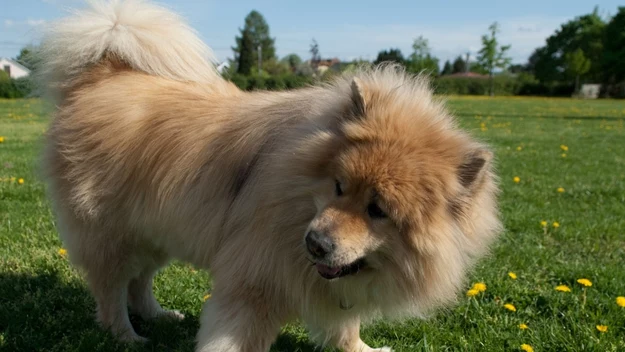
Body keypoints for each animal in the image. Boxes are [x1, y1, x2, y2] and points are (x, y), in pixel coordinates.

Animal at [39, 1, 500, 350]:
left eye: (378, 211)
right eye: (338, 187)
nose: (316, 244)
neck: (294, 200)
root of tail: (104, 74)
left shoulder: (333, 284)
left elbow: (345, 327)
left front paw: (363, 349)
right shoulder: (254, 281)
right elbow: (240, 336)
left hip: (154, 229)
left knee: (140, 281)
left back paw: (158, 315)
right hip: (112, 234)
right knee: (112, 290)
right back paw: (127, 335)